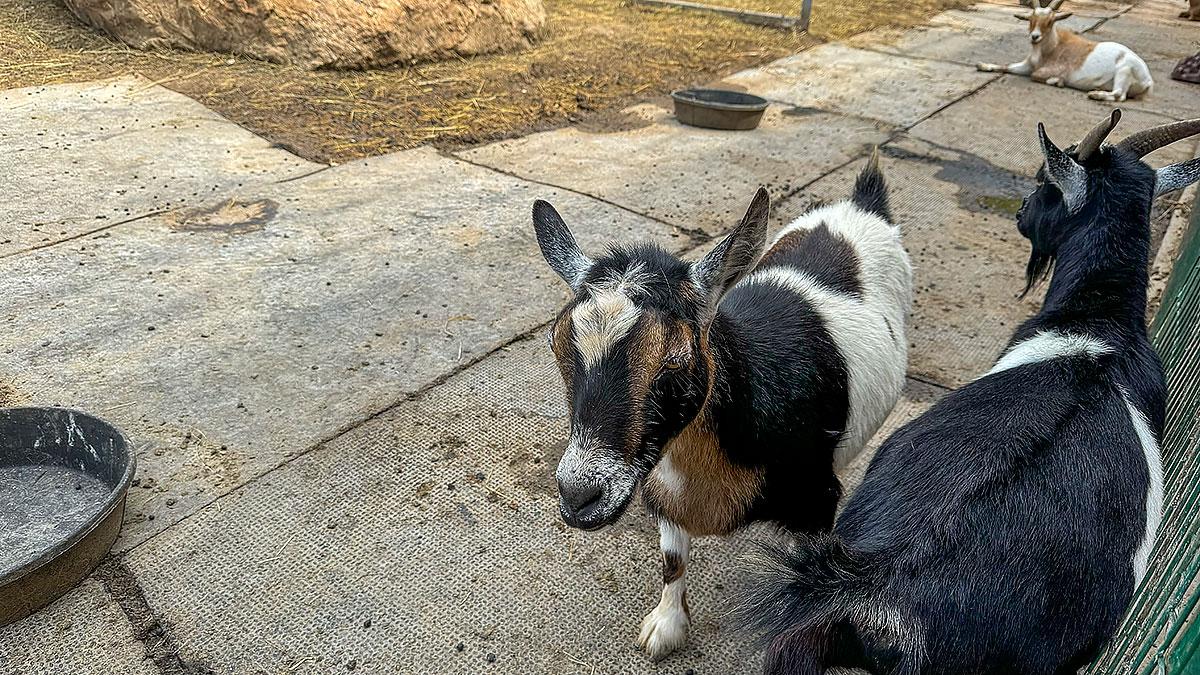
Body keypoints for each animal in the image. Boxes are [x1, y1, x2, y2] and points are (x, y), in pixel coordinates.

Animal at [531, 154, 912, 660]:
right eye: (556, 346)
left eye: (676, 358)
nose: (579, 496)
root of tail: (859, 202)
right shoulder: (661, 491)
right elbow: (673, 560)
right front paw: (666, 627)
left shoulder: (817, 501)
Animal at [978, 0, 1153, 102]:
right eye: (1031, 19)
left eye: (1050, 21)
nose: (1034, 37)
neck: (1053, 47)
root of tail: (1148, 81)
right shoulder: (1027, 66)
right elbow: (1006, 66)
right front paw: (982, 65)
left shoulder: (1052, 70)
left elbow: (1036, 76)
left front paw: (1058, 81)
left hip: (1124, 70)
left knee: (1119, 95)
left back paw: (1095, 94)